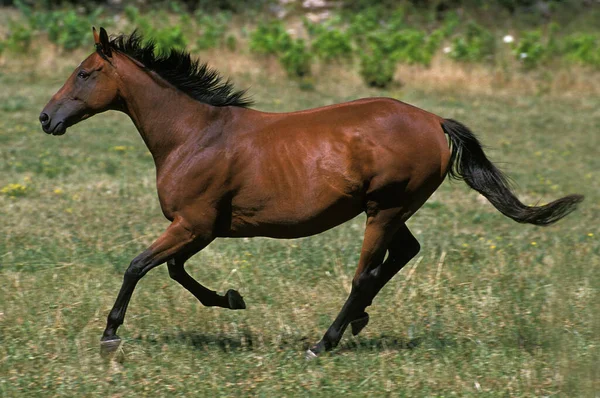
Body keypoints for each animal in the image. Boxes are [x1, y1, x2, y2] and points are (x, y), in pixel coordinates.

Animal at [39, 27, 584, 358]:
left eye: (85, 73)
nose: (46, 118)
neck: (194, 134)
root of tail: (434, 121)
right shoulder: (201, 228)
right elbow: (174, 270)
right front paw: (232, 299)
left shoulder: (194, 224)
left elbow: (138, 265)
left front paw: (110, 334)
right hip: (391, 209)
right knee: (403, 255)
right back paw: (358, 321)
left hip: (385, 209)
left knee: (365, 274)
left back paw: (325, 342)